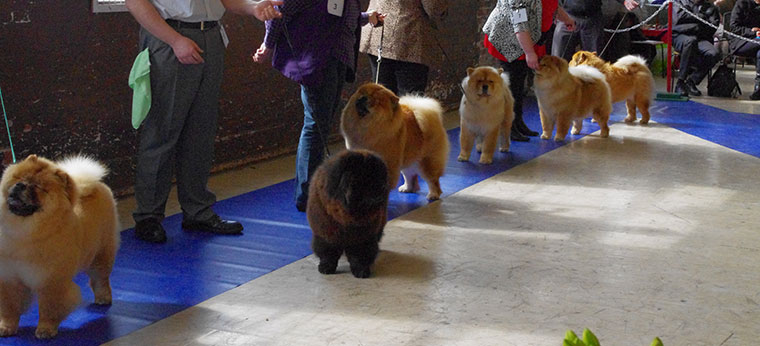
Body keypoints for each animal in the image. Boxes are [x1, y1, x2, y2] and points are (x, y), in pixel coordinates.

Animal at [0, 154, 119, 338]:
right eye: (18, 178)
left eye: (37, 187)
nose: (20, 185)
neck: (22, 232)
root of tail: (97, 185)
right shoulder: (9, 278)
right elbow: (9, 307)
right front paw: (6, 327)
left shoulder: (50, 280)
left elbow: (49, 308)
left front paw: (45, 330)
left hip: (101, 254)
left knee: (100, 279)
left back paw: (103, 298)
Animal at [308, 149, 392, 278]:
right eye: (368, 178)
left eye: (380, 178)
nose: (383, 187)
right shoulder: (326, 233)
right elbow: (328, 253)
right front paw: (326, 267)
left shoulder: (362, 238)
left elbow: (359, 256)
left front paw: (361, 271)